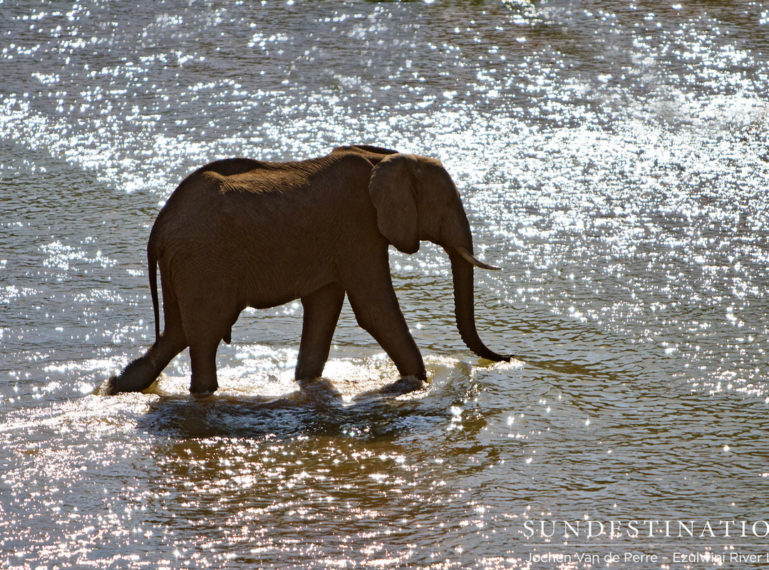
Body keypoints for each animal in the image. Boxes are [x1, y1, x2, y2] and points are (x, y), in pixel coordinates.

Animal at [103, 143, 510, 394]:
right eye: (446, 205)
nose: (508, 357)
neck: (384, 157)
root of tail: (159, 227)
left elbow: (324, 306)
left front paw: (305, 381)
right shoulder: (358, 226)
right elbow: (373, 309)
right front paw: (419, 383)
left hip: (183, 267)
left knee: (176, 333)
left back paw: (117, 386)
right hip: (201, 263)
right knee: (202, 336)